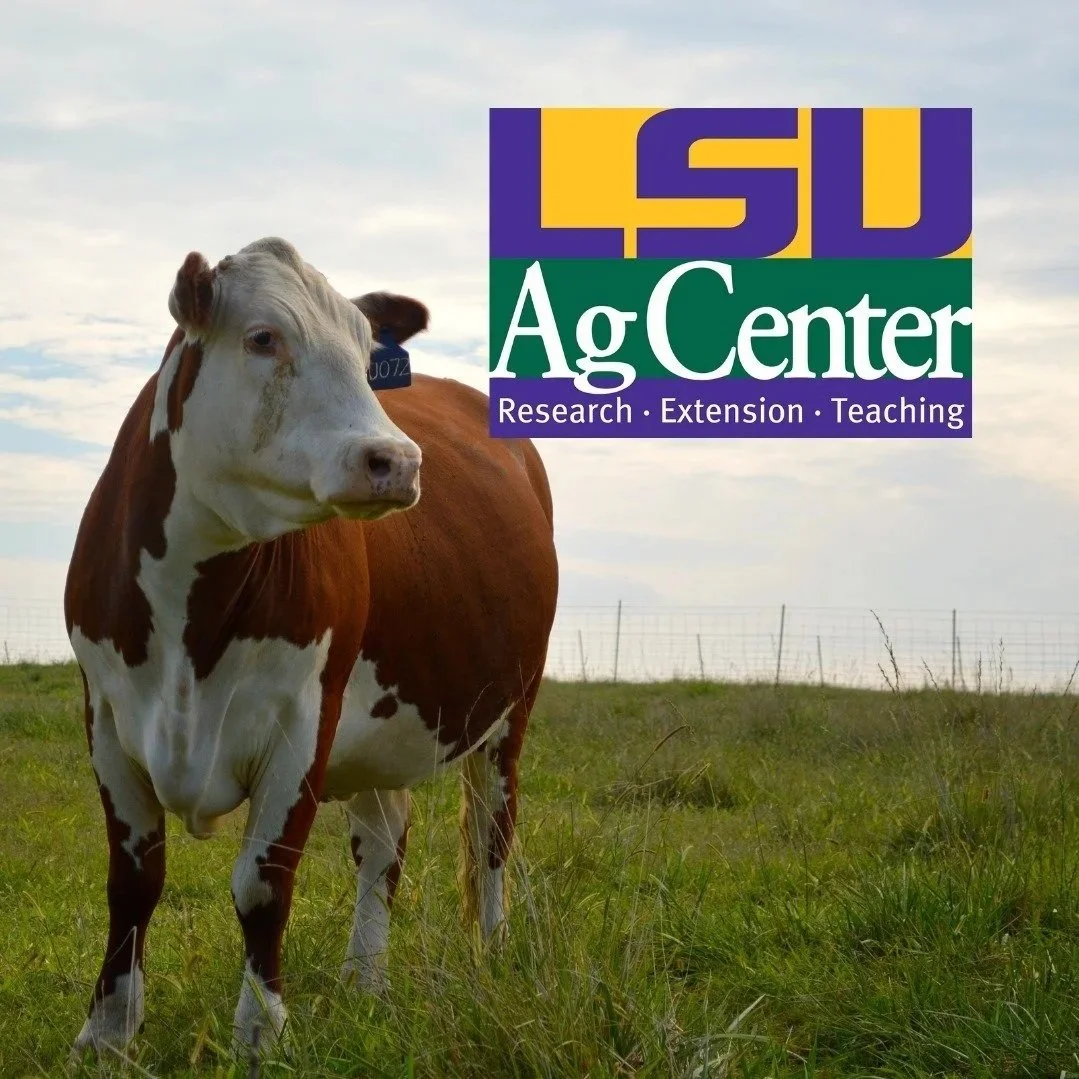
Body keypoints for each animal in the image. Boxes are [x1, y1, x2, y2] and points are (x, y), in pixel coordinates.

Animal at [63, 237, 558, 1059]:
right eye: (263, 337)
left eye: (365, 353)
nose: (396, 461)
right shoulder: (105, 715)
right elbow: (131, 883)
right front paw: (106, 1034)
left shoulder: (302, 721)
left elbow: (262, 883)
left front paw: (261, 1032)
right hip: (387, 724)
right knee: (384, 841)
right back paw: (366, 979)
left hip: (508, 707)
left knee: (493, 831)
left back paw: (489, 951)